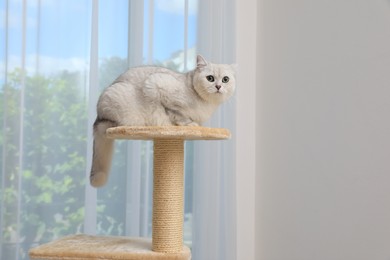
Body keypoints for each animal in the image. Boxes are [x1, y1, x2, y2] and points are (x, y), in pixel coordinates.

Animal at [90, 54, 236, 187]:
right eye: (210, 78)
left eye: (225, 79)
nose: (218, 86)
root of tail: (98, 117)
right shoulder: (157, 85)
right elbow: (176, 114)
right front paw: (189, 125)